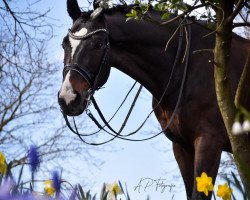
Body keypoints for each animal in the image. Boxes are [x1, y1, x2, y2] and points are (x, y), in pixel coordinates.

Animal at [57, 0, 250, 199]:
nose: (68, 98)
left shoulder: (209, 142)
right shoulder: (182, 148)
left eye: (98, 44)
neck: (186, 67)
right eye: (64, 44)